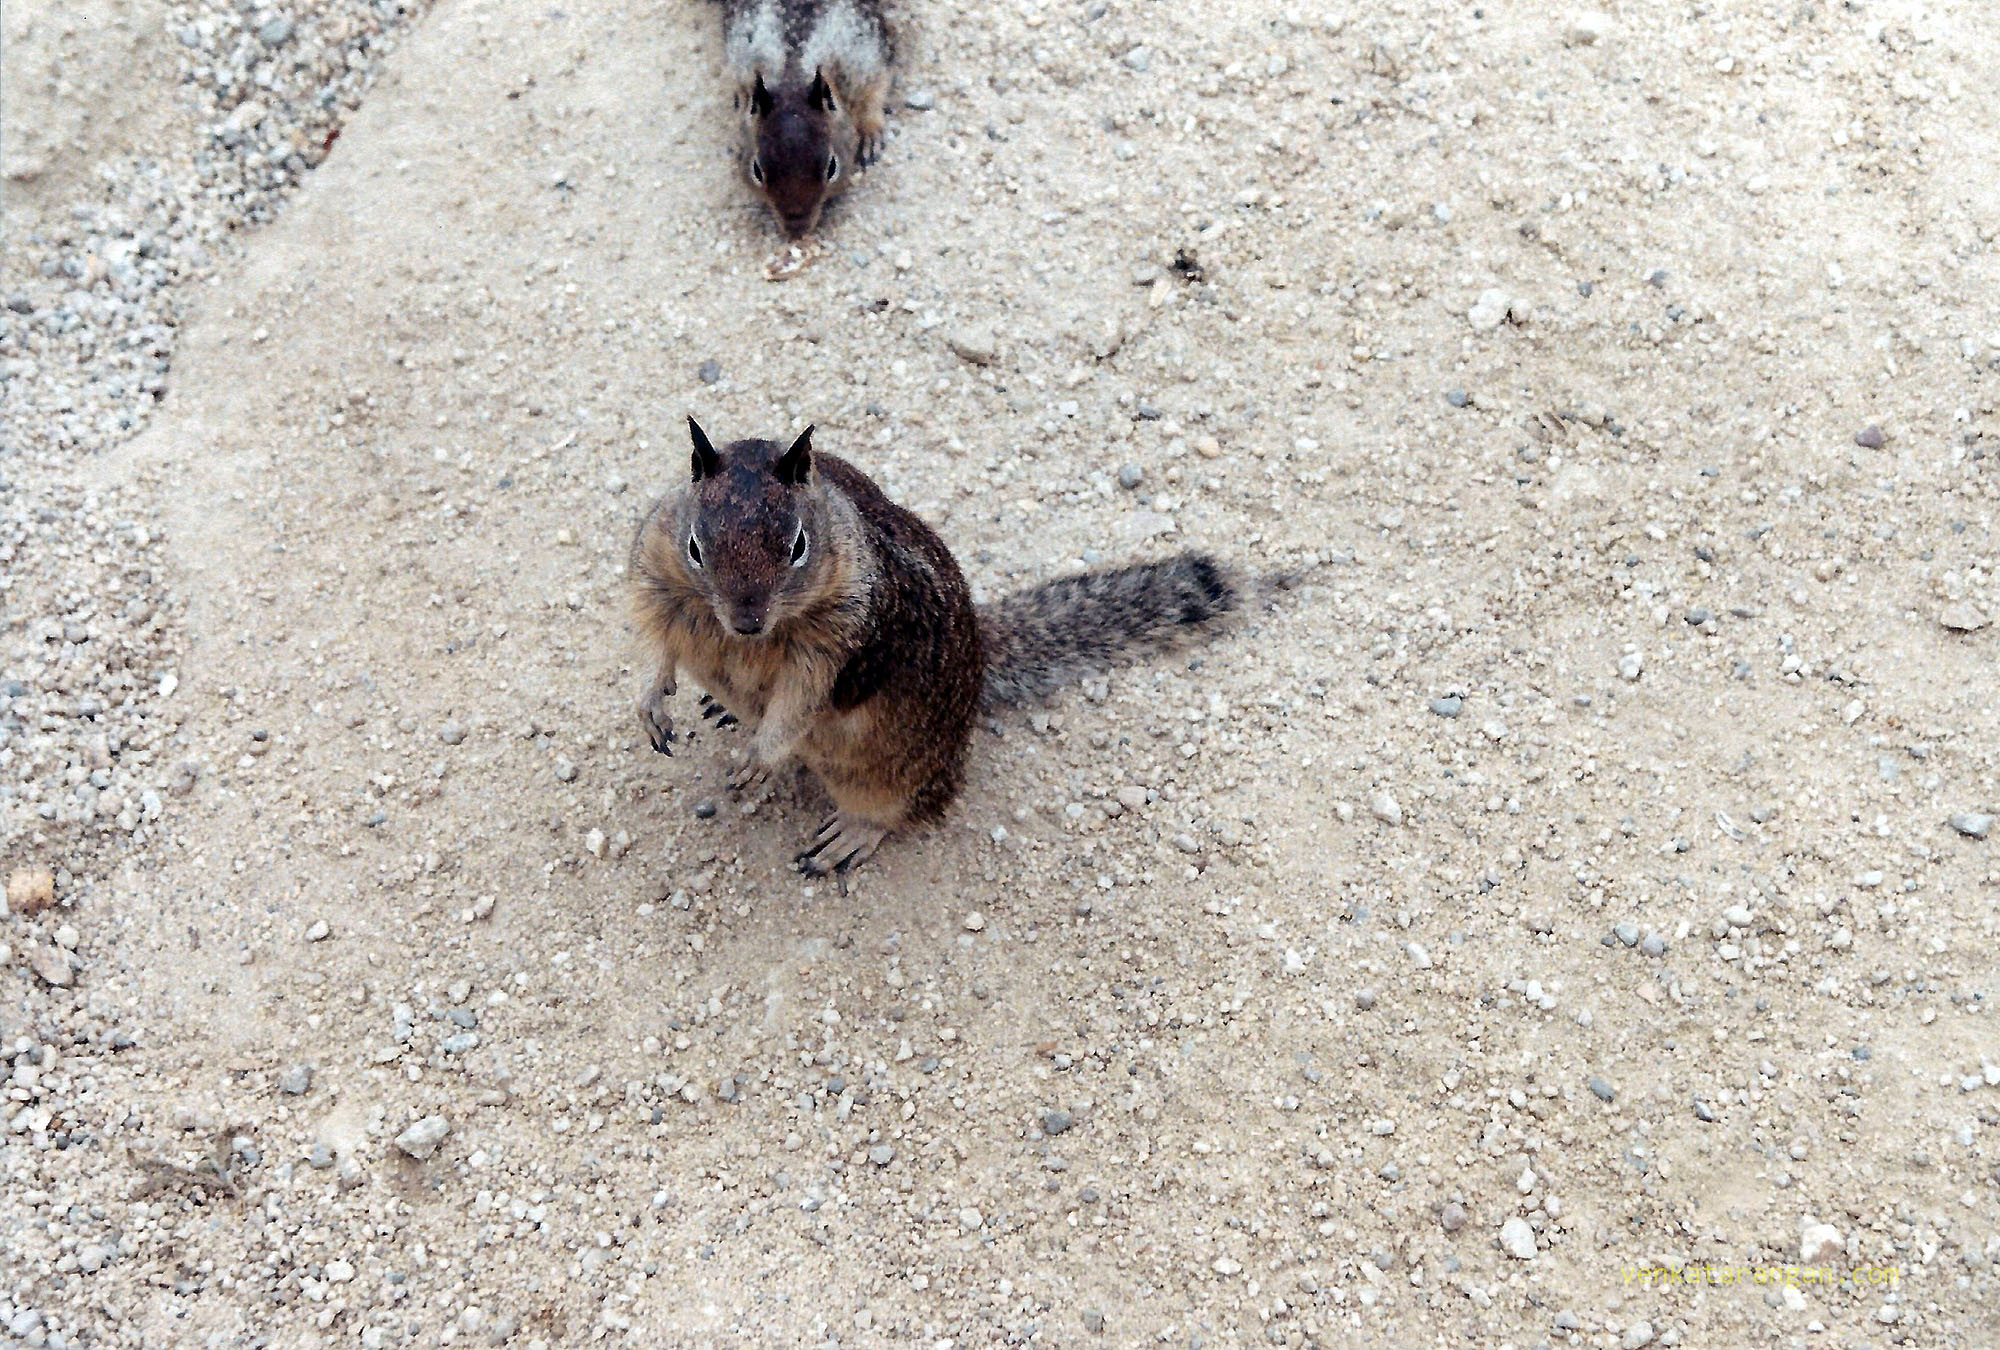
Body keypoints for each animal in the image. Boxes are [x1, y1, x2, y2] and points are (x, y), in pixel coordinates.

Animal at [629, 419, 1240, 874]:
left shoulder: (833, 648)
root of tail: (981, 656)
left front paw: (756, 760)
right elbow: (662, 653)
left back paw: (848, 834)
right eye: (695, 546)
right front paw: (652, 703)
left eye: (799, 545)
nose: (748, 620)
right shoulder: (657, 578)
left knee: (900, 809)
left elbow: (794, 710)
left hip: (894, 774)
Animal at [713, 0, 895, 238]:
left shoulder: (864, 63)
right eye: (756, 171)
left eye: (832, 167)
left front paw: (870, 137)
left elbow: (874, 96)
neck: (792, 75)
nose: (797, 229)